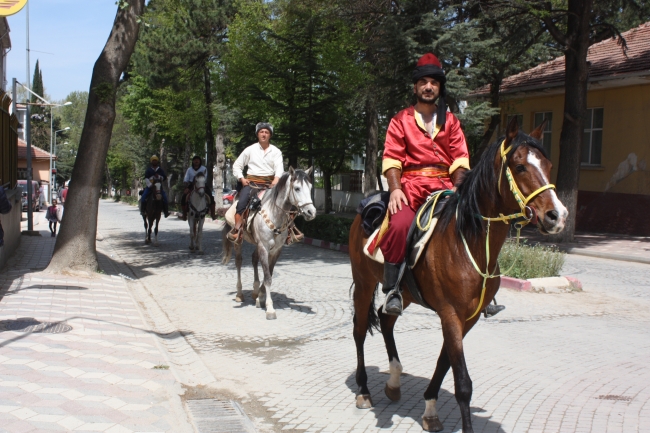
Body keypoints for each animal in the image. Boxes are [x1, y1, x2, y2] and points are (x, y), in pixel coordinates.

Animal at [220, 167, 316, 318]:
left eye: (310, 187)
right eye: (297, 188)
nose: (311, 212)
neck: (275, 214)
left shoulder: (276, 250)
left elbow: (269, 273)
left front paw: (260, 296)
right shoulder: (264, 247)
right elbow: (268, 278)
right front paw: (270, 308)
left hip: (257, 244)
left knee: (254, 259)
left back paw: (254, 292)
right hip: (239, 242)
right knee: (239, 262)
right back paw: (239, 294)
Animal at [346, 116, 564, 430]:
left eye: (547, 165)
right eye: (520, 166)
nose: (557, 216)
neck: (468, 242)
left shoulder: (468, 318)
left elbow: (444, 362)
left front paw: (430, 409)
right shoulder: (450, 313)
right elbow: (462, 383)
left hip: (406, 293)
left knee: (386, 319)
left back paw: (394, 381)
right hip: (363, 283)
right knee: (360, 330)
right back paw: (363, 390)